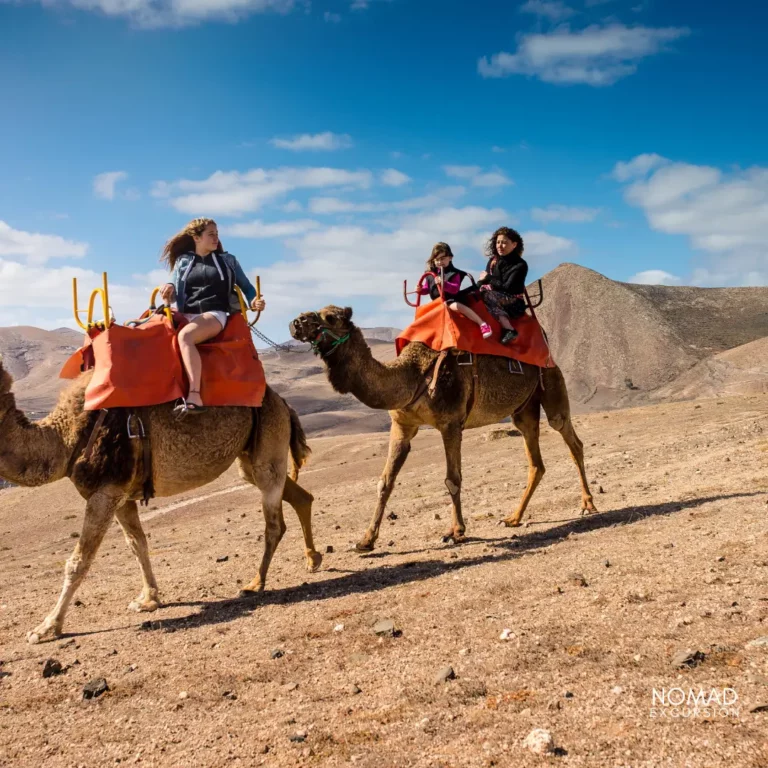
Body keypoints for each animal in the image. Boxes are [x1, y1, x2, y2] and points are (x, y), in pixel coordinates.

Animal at [0, 360, 322, 640]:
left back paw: (256, 584)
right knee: (298, 496)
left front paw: (46, 628)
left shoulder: (105, 491)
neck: (67, 438)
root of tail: (284, 402)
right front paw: (148, 599)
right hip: (251, 456)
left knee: (273, 522)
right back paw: (313, 559)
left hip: (268, 437)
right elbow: (138, 544)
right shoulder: (122, 496)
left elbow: (78, 561)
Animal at [292, 304, 596, 548]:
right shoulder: (402, 425)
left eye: (330, 317)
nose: (296, 322)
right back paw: (512, 518)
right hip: (524, 408)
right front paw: (366, 540)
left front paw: (456, 531)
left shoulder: (451, 423)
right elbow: (385, 482)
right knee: (535, 460)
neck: (413, 375)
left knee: (571, 439)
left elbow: (452, 479)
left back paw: (588, 504)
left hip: (550, 379)